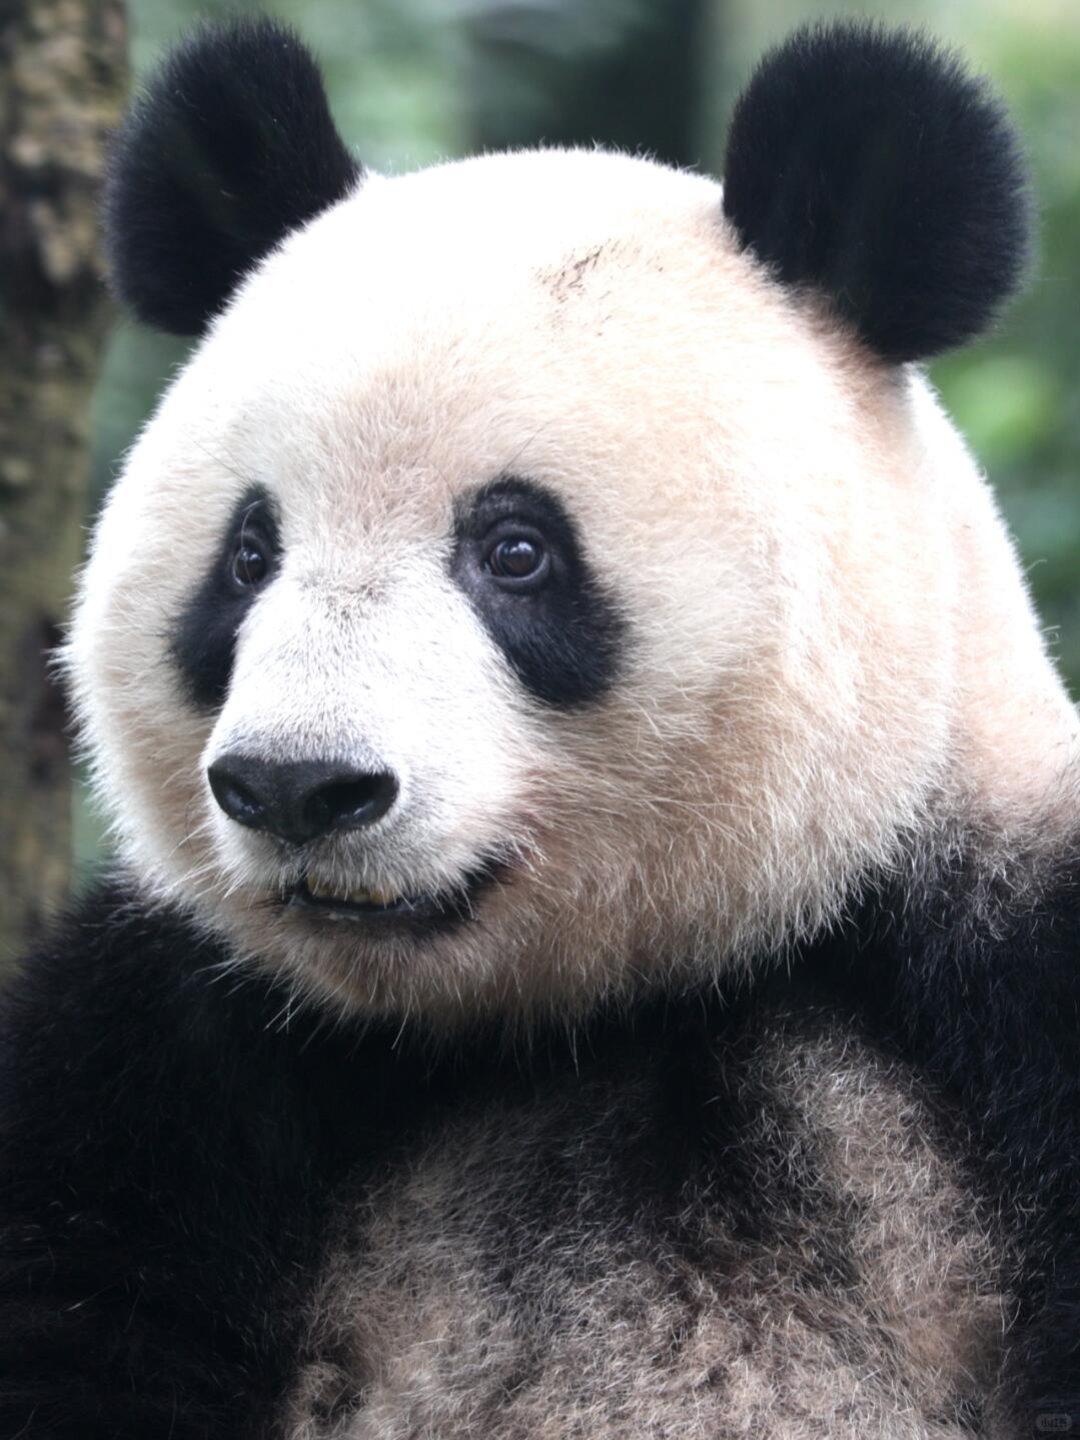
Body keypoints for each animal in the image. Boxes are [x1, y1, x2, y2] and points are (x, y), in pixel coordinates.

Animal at [1, 13, 1078, 1438]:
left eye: (515, 550)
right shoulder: (165, 1053)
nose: (299, 787)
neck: (592, 1010)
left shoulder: (1011, 948)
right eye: (247, 555)